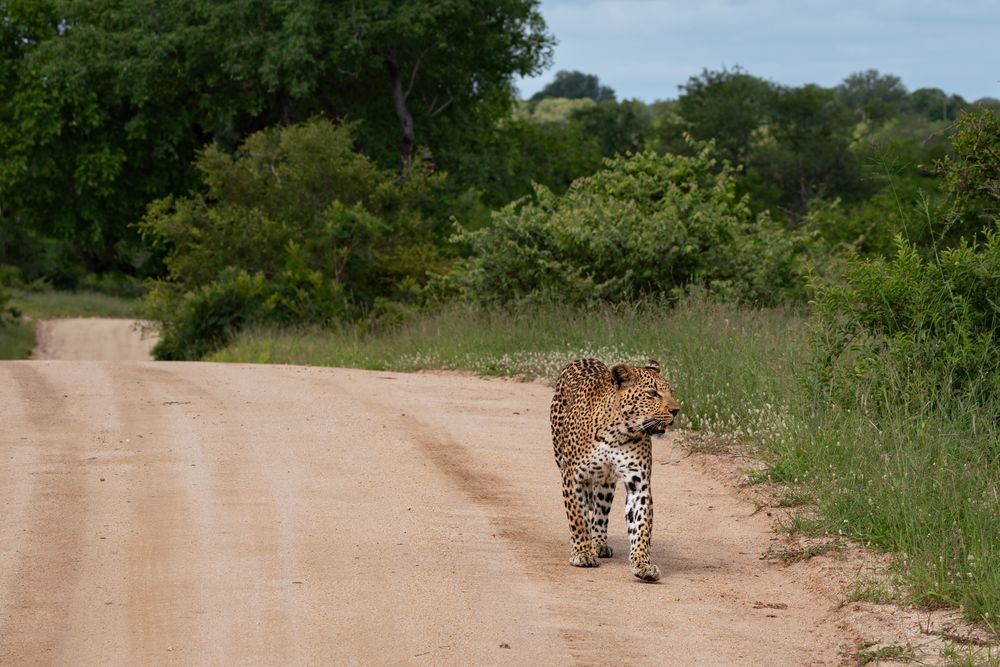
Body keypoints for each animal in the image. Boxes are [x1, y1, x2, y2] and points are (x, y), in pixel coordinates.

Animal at [548, 358, 680, 580]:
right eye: (652, 393)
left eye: (671, 392)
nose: (676, 411)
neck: (616, 432)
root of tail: (585, 358)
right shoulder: (573, 477)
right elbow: (577, 517)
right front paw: (582, 553)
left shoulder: (638, 483)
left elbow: (641, 525)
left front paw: (642, 563)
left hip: (606, 483)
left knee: (600, 514)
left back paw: (599, 543)